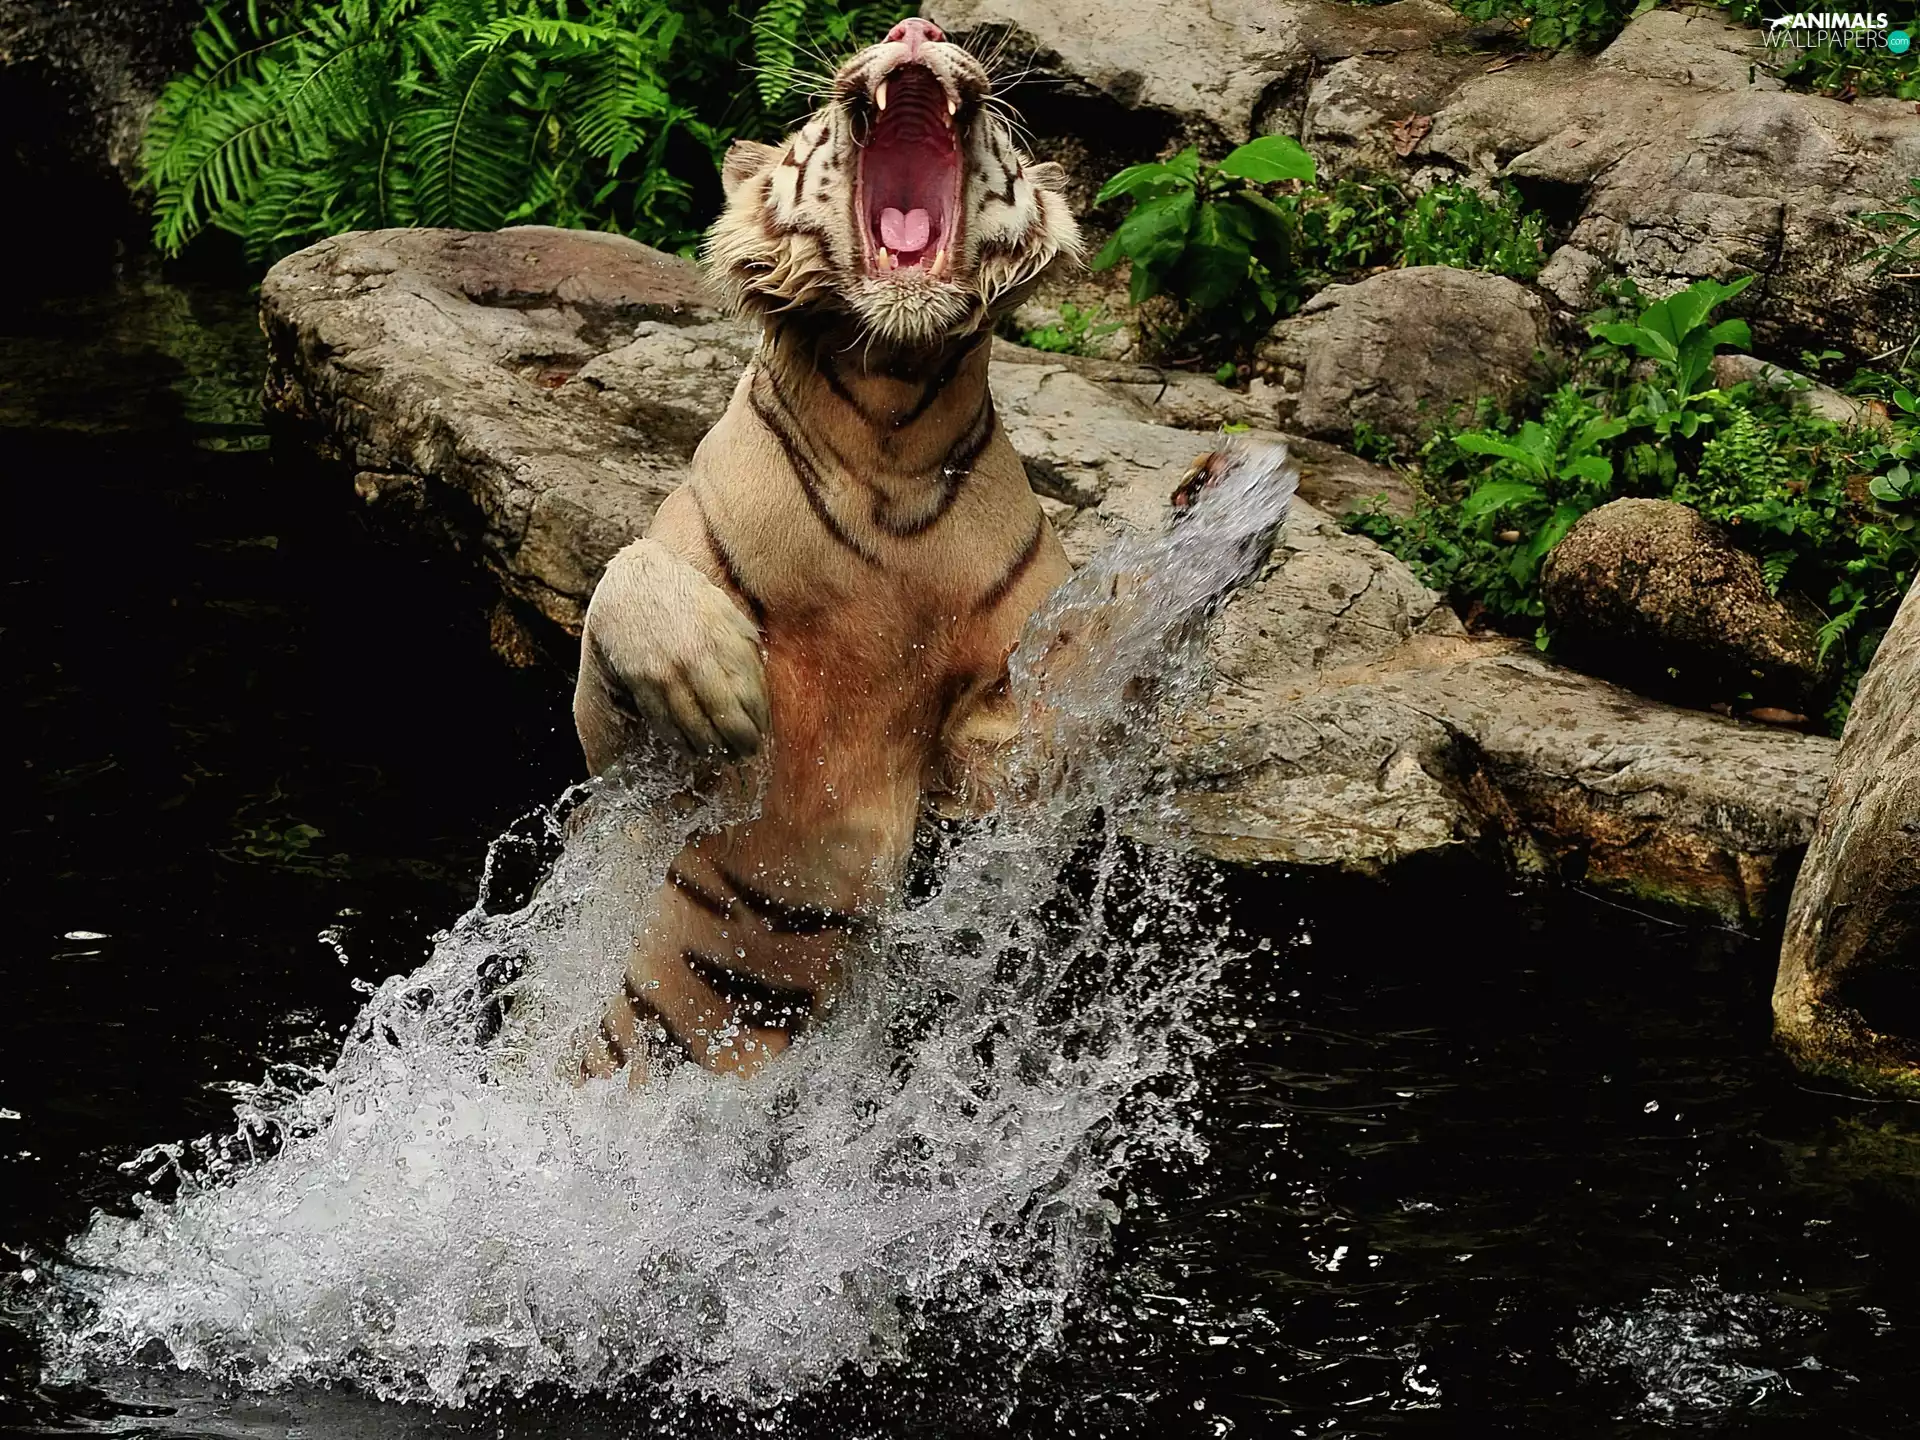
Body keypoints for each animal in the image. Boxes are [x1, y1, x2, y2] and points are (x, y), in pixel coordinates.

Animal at [572, 16, 1288, 1083]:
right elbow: (622, 586)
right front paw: (715, 683)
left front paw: (1225, 505)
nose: (918, 28)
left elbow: (1098, 666)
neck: (891, 429)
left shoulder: (996, 758)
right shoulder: (625, 766)